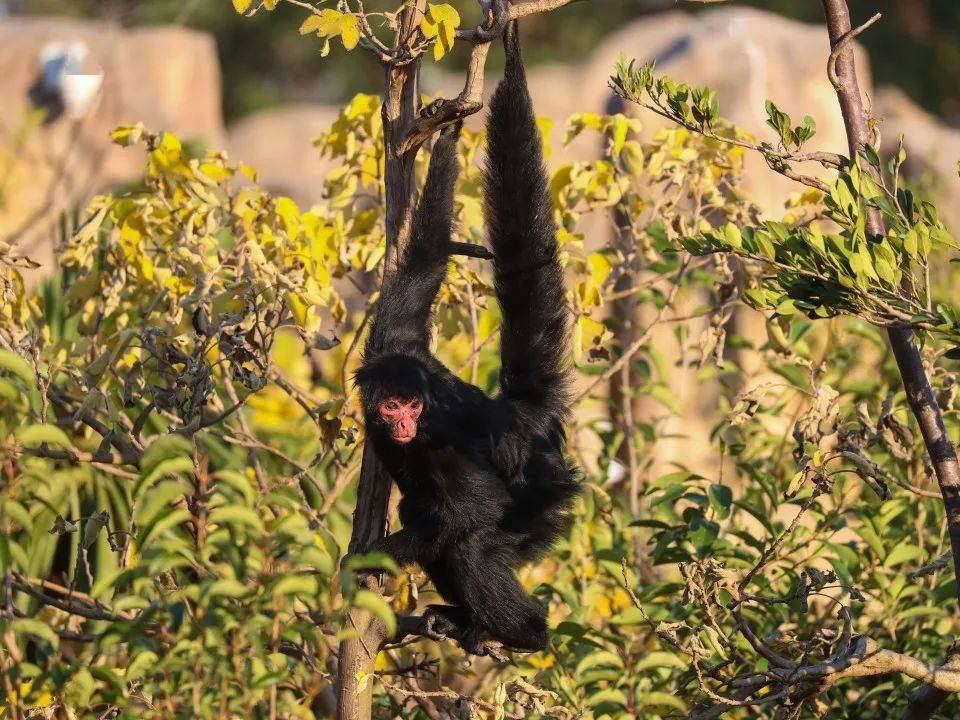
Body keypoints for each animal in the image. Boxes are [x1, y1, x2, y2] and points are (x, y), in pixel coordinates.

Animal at [354, 21, 572, 652]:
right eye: (391, 405)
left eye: (413, 406)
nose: (401, 422)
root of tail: (521, 417)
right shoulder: (389, 342)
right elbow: (424, 261)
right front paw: (446, 137)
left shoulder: (439, 438)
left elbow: (473, 511)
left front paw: (362, 560)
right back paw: (461, 620)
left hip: (542, 493)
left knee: (473, 539)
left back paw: (526, 632)